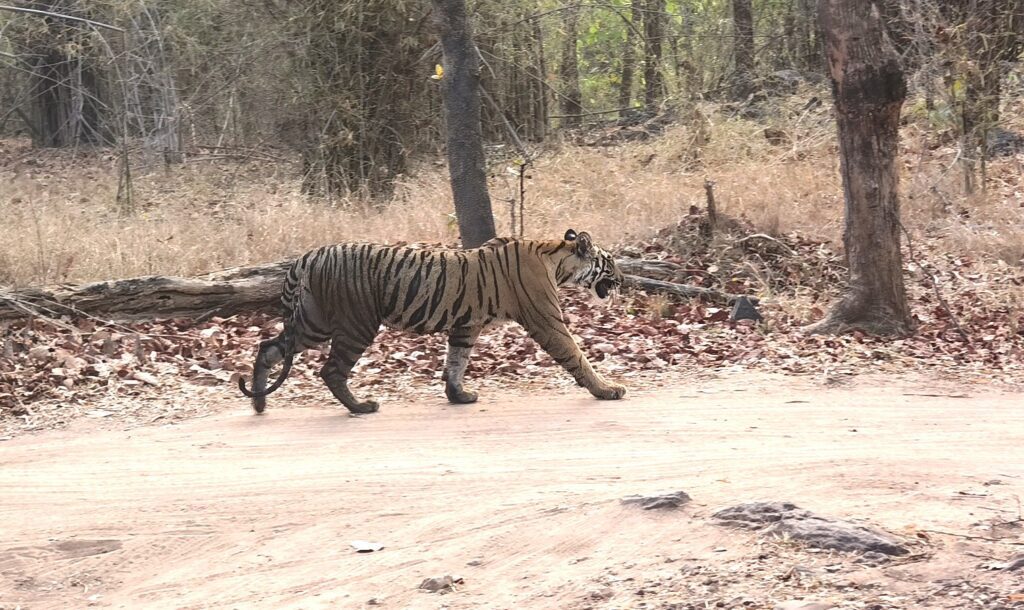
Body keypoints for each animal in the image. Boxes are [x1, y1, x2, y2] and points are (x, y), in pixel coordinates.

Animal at [237, 229, 626, 414]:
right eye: (610, 262)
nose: (623, 279)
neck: (556, 259)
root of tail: (308, 255)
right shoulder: (547, 320)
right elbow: (576, 355)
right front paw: (607, 390)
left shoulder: (466, 325)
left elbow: (456, 361)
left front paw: (458, 396)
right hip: (356, 324)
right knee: (331, 370)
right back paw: (361, 407)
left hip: (313, 323)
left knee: (268, 348)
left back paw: (259, 404)